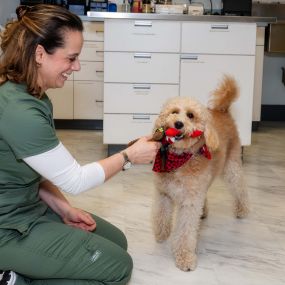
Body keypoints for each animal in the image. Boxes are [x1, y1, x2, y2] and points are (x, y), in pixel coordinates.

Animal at [151, 75, 248, 270]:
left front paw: (185, 258)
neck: (179, 160)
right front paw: (161, 233)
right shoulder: (164, 193)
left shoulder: (189, 203)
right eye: (174, 112)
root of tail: (222, 110)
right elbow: (161, 215)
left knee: (240, 187)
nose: (178, 124)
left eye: (190, 115)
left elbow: (185, 232)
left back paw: (242, 209)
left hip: (231, 166)